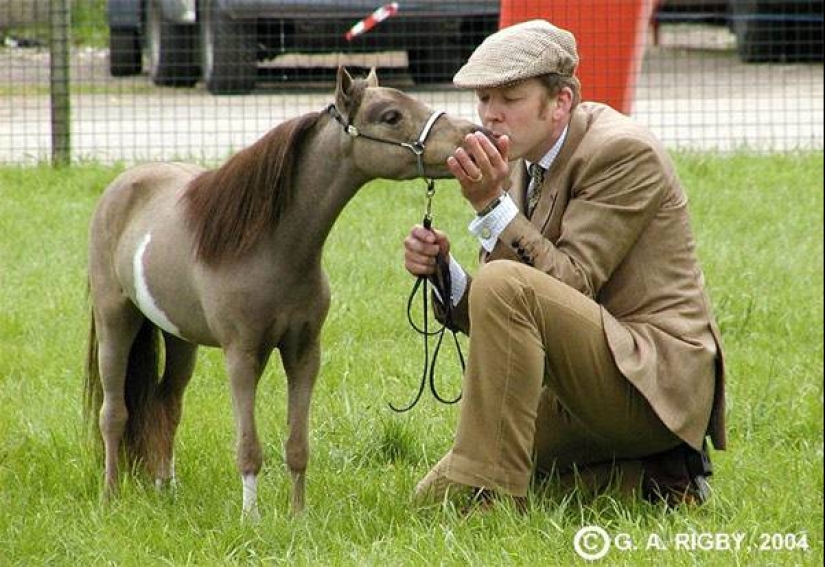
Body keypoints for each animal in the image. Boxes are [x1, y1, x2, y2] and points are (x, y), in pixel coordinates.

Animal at [84, 66, 483, 519]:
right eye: (391, 116)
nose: (472, 134)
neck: (269, 246)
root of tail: (122, 185)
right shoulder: (242, 356)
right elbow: (249, 447)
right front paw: (252, 519)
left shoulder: (304, 353)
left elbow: (297, 445)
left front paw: (298, 515)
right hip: (116, 321)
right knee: (114, 413)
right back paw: (110, 498)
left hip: (179, 337)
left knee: (166, 403)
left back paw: (165, 489)